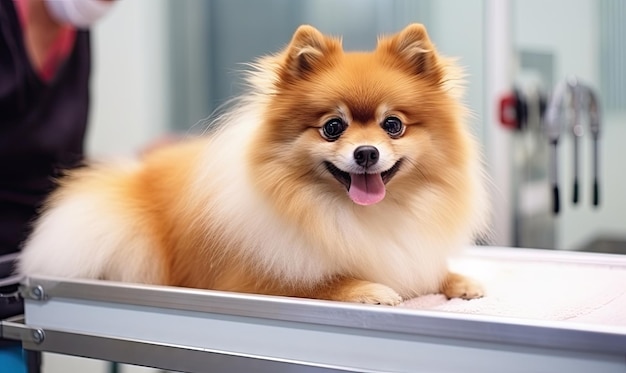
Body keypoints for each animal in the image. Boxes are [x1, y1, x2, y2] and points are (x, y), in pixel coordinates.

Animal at [18, 23, 488, 304]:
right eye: (333, 128)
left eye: (393, 126)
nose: (367, 153)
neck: (361, 215)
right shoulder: (248, 280)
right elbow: (318, 282)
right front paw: (367, 287)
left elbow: (434, 270)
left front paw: (460, 280)